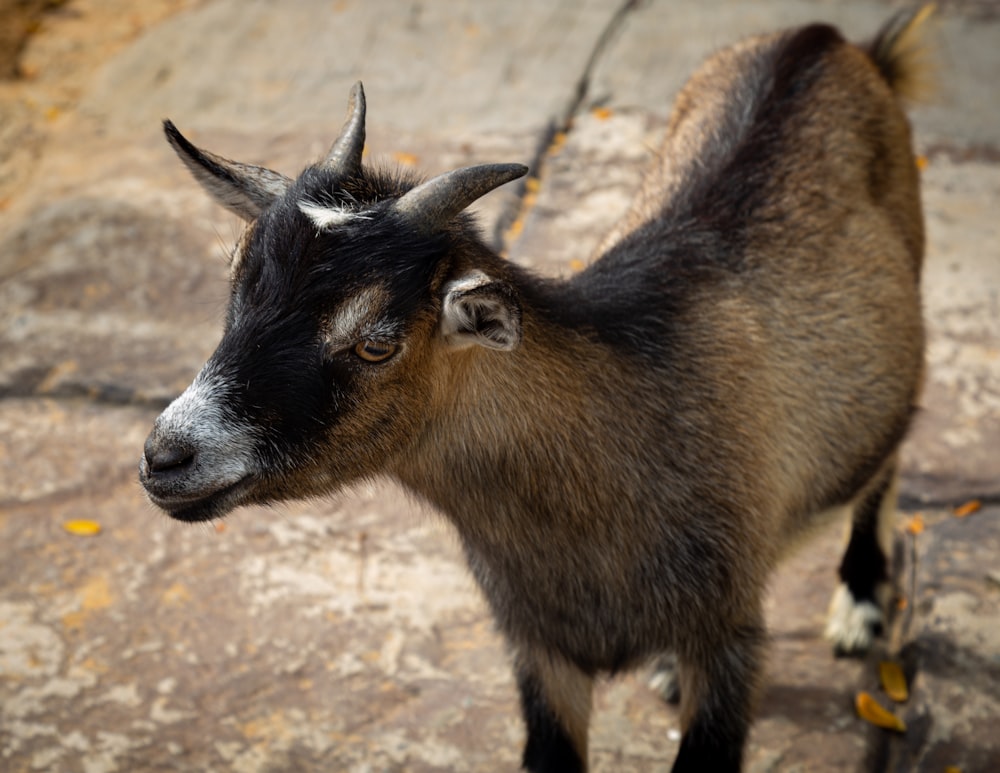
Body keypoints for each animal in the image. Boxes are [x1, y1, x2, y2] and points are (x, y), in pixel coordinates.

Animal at [139, 7, 928, 772]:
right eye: (236, 283)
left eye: (375, 342)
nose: (166, 456)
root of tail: (827, 38)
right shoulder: (541, 650)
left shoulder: (729, 639)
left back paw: (861, 603)